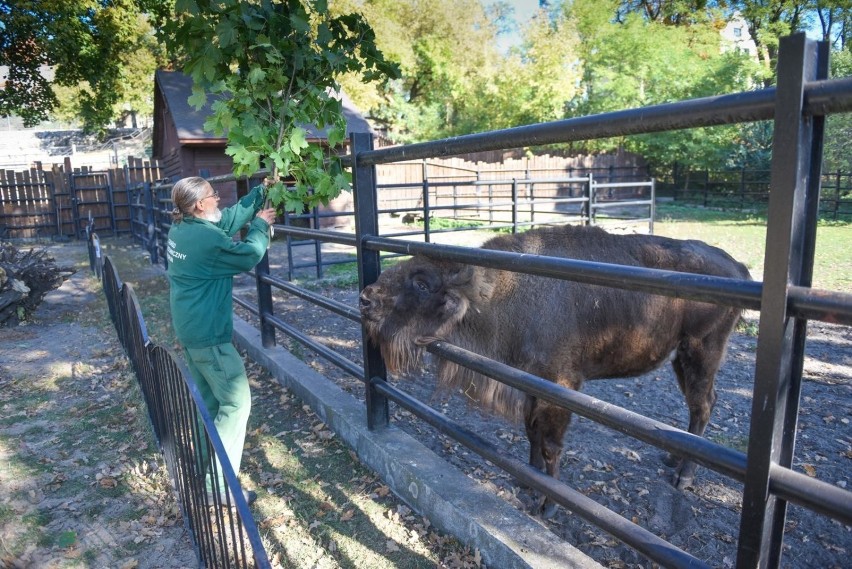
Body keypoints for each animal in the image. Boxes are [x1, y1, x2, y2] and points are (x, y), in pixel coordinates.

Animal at [360, 222, 752, 516]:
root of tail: (737, 267)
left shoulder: (559, 387)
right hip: (680, 358)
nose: (366, 298)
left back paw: (683, 478)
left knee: (703, 405)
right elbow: (531, 433)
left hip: (701, 351)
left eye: (422, 283)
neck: (505, 293)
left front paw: (548, 504)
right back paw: (672, 458)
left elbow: (550, 444)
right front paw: (527, 479)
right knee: (699, 406)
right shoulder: (529, 383)